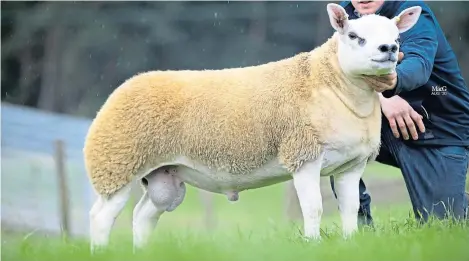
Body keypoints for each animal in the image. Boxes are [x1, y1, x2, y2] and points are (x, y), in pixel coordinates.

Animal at [83, 3, 420, 252]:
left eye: (397, 36)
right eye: (353, 35)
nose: (389, 48)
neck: (332, 84)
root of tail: (123, 88)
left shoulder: (352, 165)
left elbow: (351, 210)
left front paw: (349, 245)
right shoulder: (303, 156)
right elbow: (314, 209)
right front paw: (312, 245)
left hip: (162, 176)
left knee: (142, 216)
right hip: (117, 164)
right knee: (100, 217)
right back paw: (100, 252)